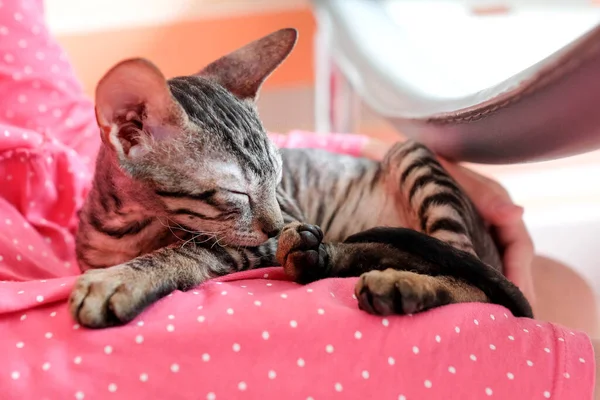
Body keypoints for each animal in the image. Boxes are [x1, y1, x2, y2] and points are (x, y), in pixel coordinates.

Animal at [68, 27, 532, 328]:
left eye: (278, 179)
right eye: (236, 191)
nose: (278, 225)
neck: (129, 230)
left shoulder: (264, 234)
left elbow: (192, 251)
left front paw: (122, 279)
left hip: (409, 154)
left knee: (477, 286)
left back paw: (400, 283)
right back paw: (319, 256)